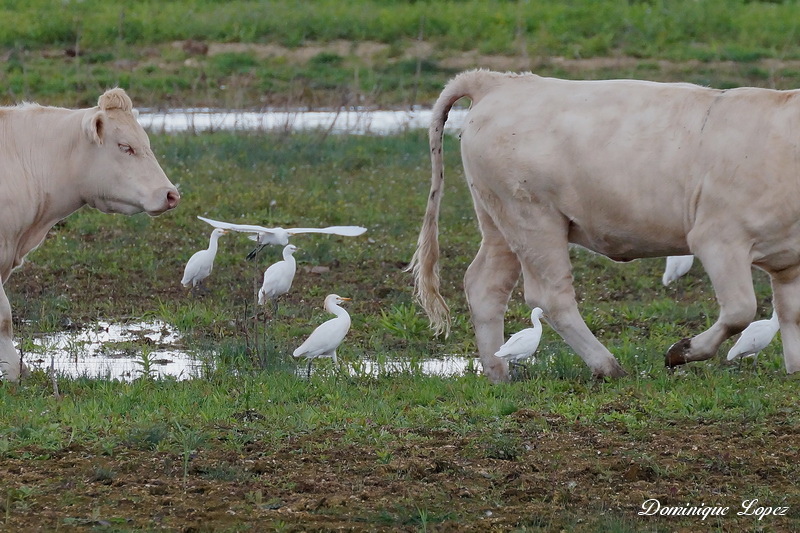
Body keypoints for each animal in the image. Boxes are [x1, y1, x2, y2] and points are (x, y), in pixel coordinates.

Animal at [410, 69, 800, 382]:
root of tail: (497, 81)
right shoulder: (719, 239)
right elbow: (740, 310)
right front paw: (682, 351)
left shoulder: (789, 260)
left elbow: (791, 313)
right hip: (532, 219)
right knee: (552, 296)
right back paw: (606, 366)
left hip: (498, 223)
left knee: (485, 286)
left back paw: (499, 374)